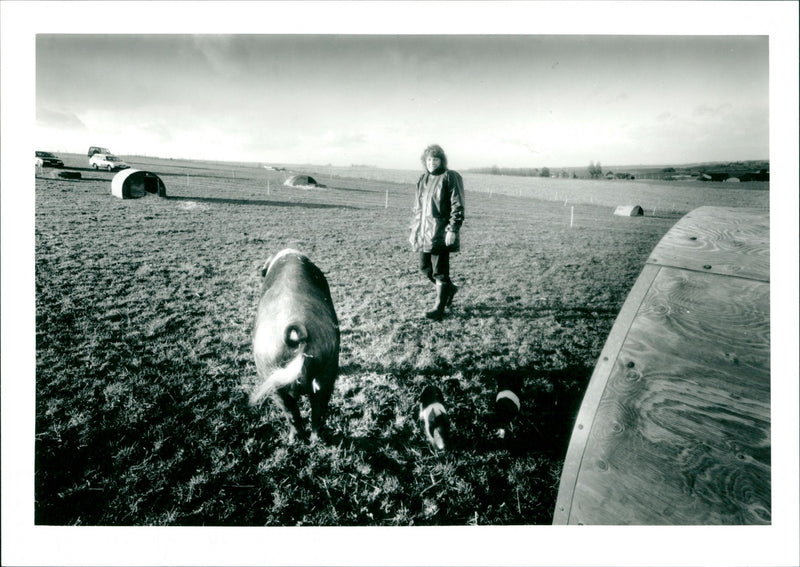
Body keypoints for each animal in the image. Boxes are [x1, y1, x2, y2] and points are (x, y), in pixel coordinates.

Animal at [249, 249, 340, 442]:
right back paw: (315, 440)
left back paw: (292, 440)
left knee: (291, 413)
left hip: (271, 377)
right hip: (327, 369)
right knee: (318, 410)